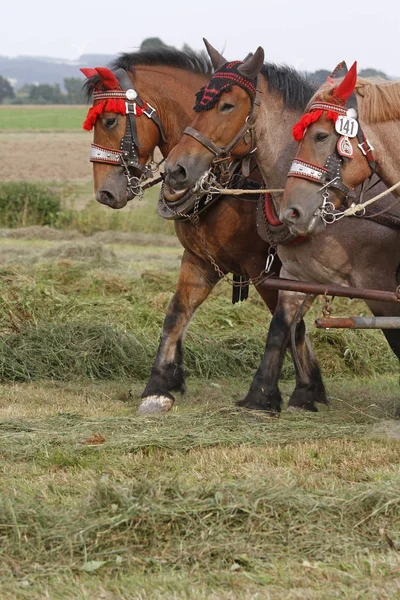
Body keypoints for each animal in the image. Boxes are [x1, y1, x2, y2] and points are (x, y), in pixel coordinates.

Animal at [83, 45, 326, 412]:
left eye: (109, 120)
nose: (105, 193)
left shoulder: (266, 267)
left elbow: (288, 323)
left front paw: (298, 391)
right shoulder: (199, 260)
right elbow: (176, 315)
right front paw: (158, 386)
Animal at [166, 48, 400, 412]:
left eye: (226, 105)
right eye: (197, 103)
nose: (176, 169)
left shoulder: (380, 283)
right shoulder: (292, 273)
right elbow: (280, 327)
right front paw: (263, 396)